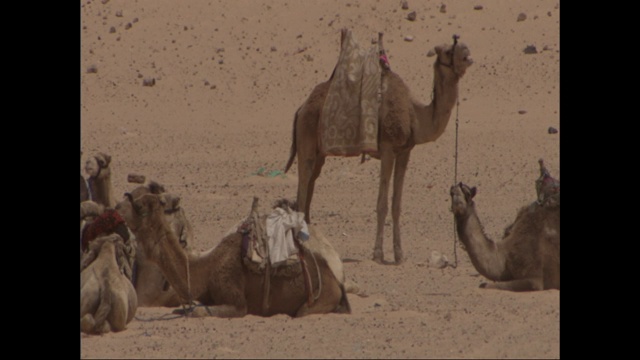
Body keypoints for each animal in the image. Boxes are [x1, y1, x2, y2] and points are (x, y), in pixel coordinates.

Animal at [120, 193, 350, 320]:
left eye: (137, 206)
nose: (117, 208)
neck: (206, 271)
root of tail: (336, 281)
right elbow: (186, 309)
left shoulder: (237, 303)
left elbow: (198, 312)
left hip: (320, 298)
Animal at [284, 33, 470, 264]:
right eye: (448, 50)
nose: (467, 53)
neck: (415, 116)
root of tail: (301, 108)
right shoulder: (388, 150)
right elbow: (382, 204)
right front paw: (378, 253)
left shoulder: (405, 152)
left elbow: (397, 204)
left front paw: (399, 254)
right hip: (307, 139)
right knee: (303, 186)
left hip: (320, 153)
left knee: (310, 184)